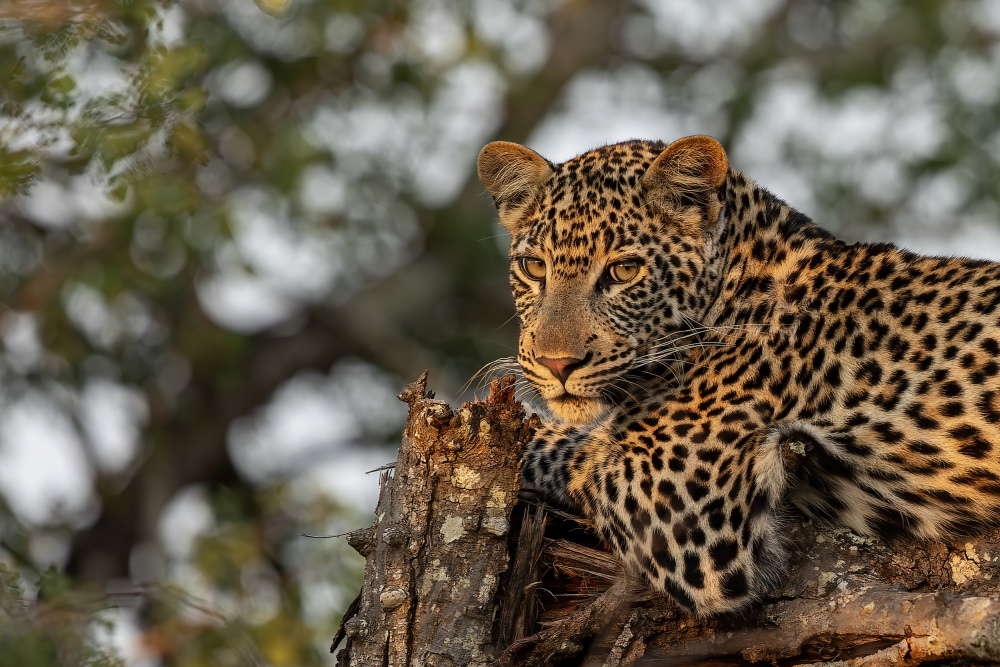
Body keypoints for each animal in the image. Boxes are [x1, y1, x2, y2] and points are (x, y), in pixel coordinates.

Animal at [476, 135, 1000, 616]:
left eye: (624, 270)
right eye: (534, 267)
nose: (556, 364)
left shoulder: (678, 505)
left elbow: (571, 448)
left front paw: (532, 441)